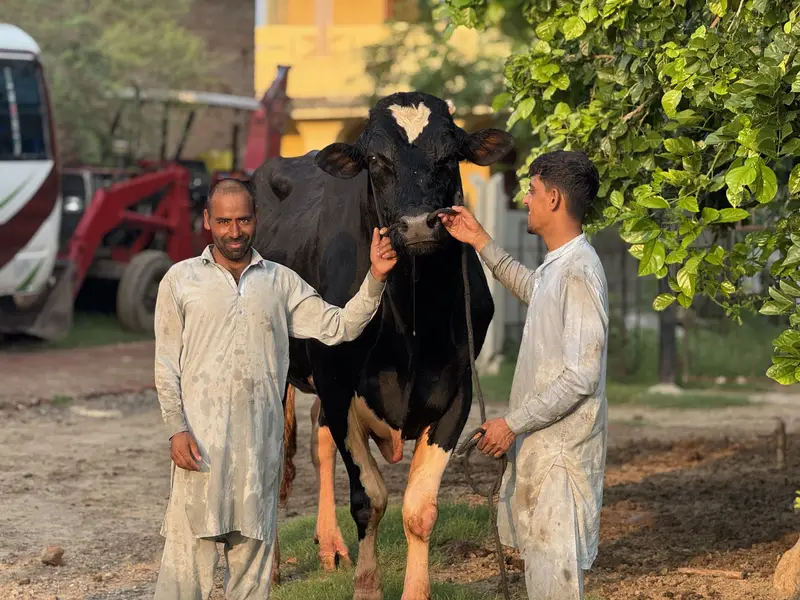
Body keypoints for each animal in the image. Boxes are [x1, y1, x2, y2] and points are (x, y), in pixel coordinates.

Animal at [250, 91, 514, 600]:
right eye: (376, 160)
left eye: (450, 156)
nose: (417, 226)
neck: (411, 317)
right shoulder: (337, 385)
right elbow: (368, 498)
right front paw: (367, 587)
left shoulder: (456, 392)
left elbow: (419, 508)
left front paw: (415, 591)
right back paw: (269, 570)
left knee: (319, 441)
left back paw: (331, 548)